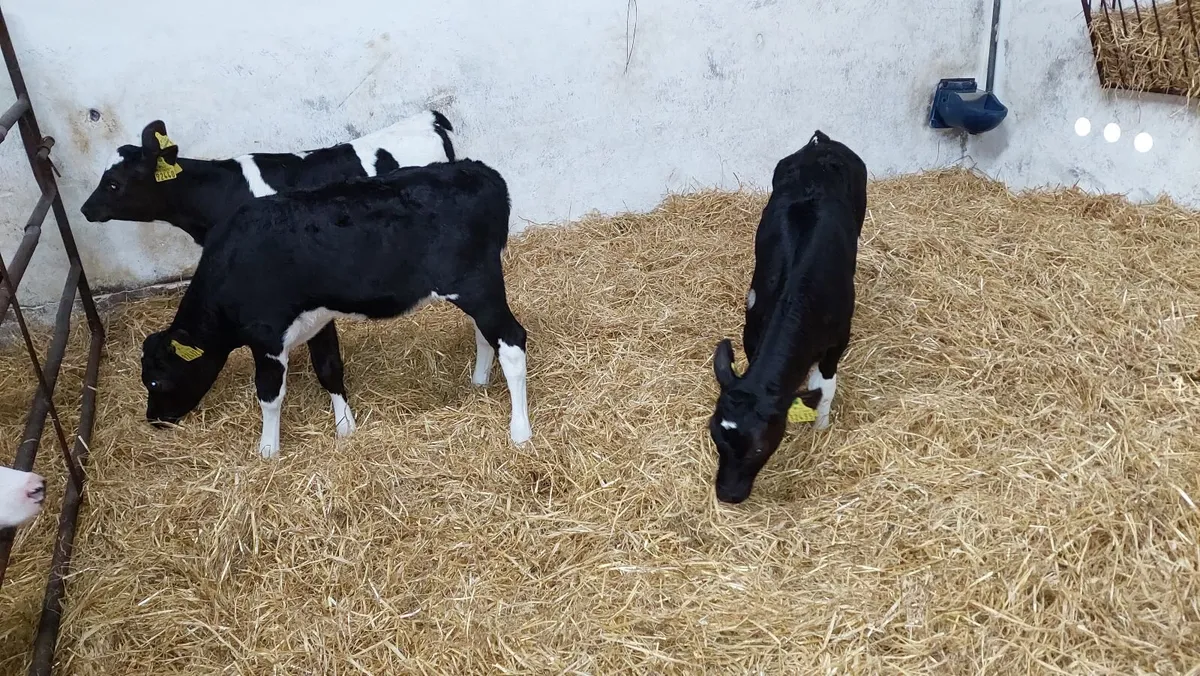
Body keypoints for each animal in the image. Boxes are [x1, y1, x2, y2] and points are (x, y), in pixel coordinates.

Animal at [138, 158, 531, 458]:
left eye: (155, 380)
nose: (153, 419)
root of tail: (478, 170)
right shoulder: (318, 320)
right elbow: (329, 368)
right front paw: (345, 426)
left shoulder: (267, 335)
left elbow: (269, 395)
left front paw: (268, 449)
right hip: (479, 290)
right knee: (486, 334)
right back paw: (478, 382)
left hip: (475, 286)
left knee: (512, 340)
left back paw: (520, 431)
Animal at [708, 130, 867, 504]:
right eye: (714, 435)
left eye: (758, 447)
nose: (727, 494)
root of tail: (821, 142)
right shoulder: (752, 332)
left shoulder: (839, 341)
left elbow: (824, 388)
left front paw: (821, 428)